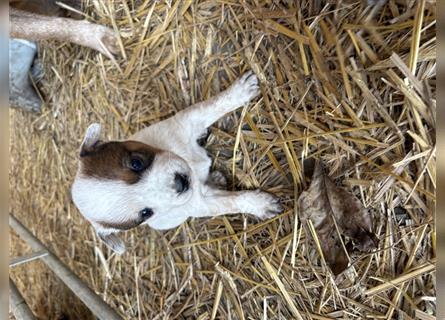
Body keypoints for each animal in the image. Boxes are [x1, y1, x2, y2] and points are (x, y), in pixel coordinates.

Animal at [71, 71, 282, 254]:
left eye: (136, 163)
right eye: (145, 213)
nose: (180, 183)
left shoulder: (185, 121)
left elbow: (212, 106)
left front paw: (240, 91)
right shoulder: (202, 203)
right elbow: (232, 202)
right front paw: (260, 204)